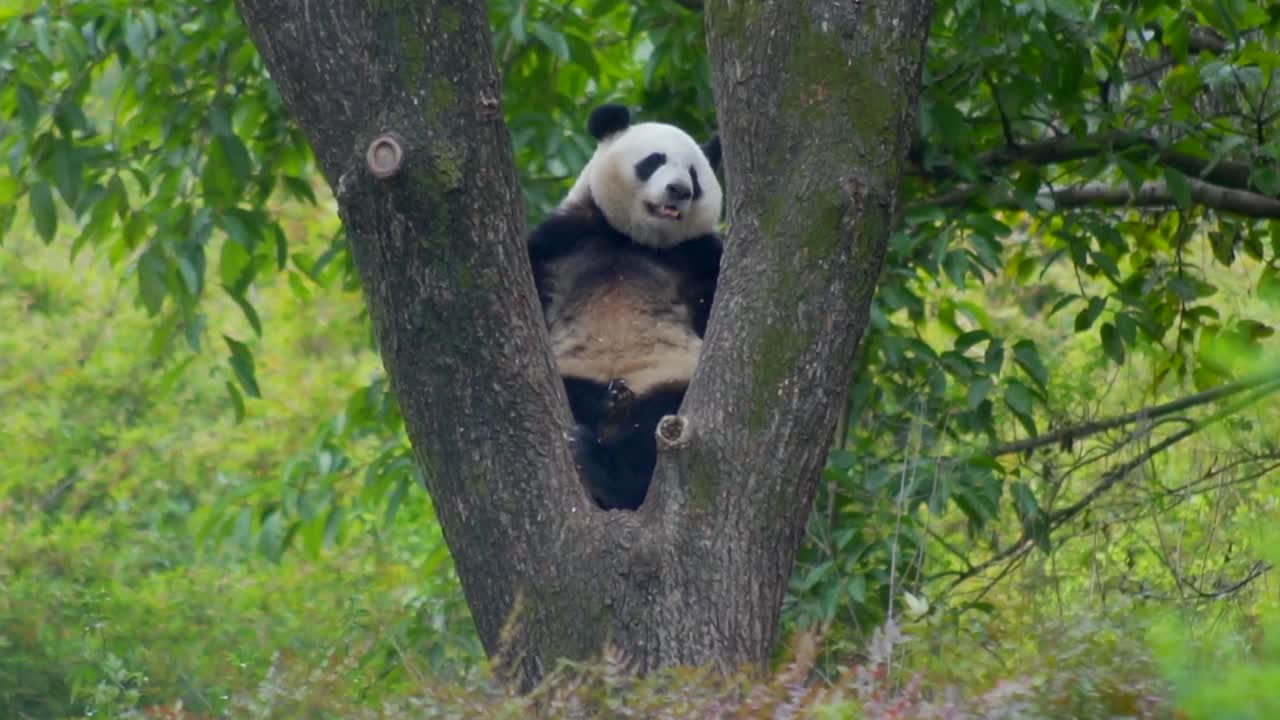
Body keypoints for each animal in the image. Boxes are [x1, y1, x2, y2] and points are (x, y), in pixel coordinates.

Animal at [527, 103, 723, 511]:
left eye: (694, 174)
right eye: (654, 160)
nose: (679, 190)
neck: (635, 239)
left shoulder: (697, 257)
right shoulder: (565, 239)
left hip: (666, 383)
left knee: (651, 432)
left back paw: (606, 469)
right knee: (578, 394)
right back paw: (607, 405)